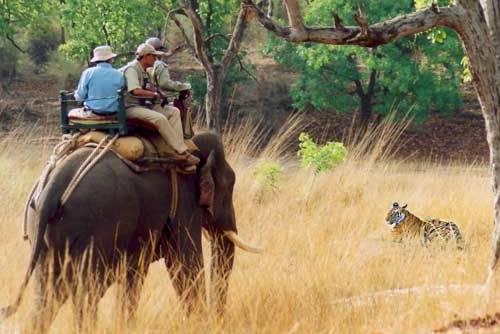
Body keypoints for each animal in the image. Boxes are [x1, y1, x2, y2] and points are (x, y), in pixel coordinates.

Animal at [0, 130, 258, 332]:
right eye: (230, 185)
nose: (219, 320)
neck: (190, 145)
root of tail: (54, 186)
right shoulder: (184, 201)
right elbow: (185, 263)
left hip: (42, 232)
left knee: (47, 293)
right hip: (97, 227)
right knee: (86, 292)